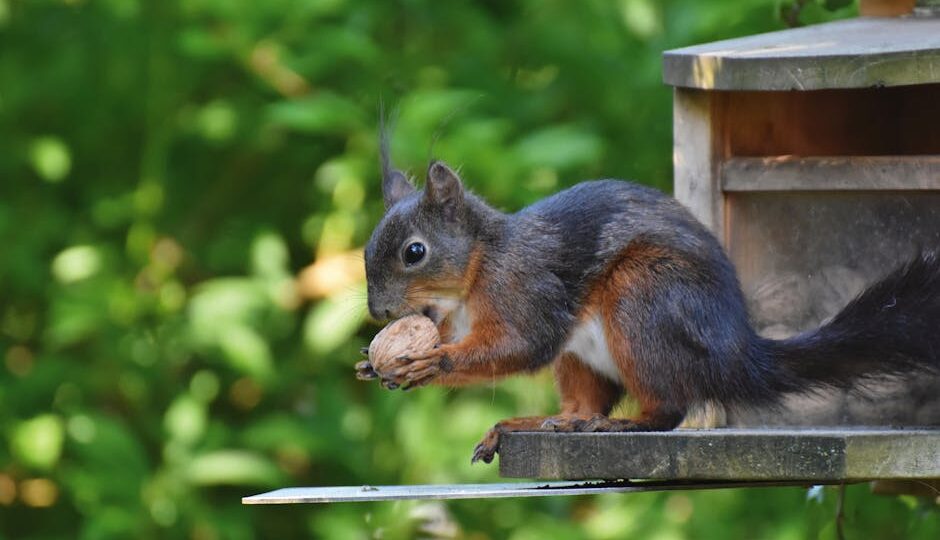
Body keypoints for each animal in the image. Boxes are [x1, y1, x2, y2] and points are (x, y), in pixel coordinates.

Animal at [363, 139, 940, 465]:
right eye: (368, 249)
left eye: (414, 252)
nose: (378, 312)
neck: (480, 267)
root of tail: (736, 355)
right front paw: (374, 367)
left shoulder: (527, 288)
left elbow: (521, 345)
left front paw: (430, 362)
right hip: (584, 357)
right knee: (583, 402)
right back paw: (541, 422)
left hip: (643, 299)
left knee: (668, 409)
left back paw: (619, 424)